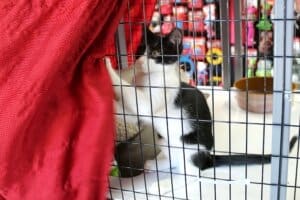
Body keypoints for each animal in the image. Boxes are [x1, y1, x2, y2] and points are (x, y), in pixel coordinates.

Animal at [105, 27, 298, 174]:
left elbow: (132, 93)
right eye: (140, 53)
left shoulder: (155, 98)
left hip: (190, 145)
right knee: (175, 161)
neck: (151, 78)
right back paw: (156, 165)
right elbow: (129, 113)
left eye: (155, 53)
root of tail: (208, 158)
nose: (141, 63)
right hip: (165, 140)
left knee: (191, 173)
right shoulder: (137, 112)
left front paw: (107, 68)